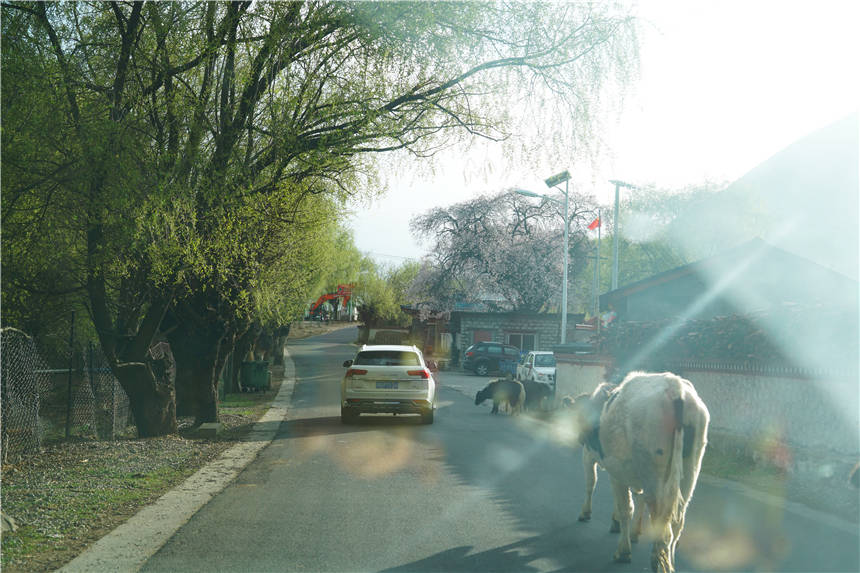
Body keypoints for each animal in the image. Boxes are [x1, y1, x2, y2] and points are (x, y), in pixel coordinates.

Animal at [568, 370, 708, 572]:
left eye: (578, 416)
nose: (580, 437)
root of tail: (675, 387)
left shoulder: (597, 459)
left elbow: (605, 493)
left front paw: (622, 548)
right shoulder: (629, 471)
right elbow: (634, 501)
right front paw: (631, 531)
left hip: (653, 474)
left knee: (660, 517)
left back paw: (657, 560)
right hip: (690, 470)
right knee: (677, 520)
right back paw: (667, 558)